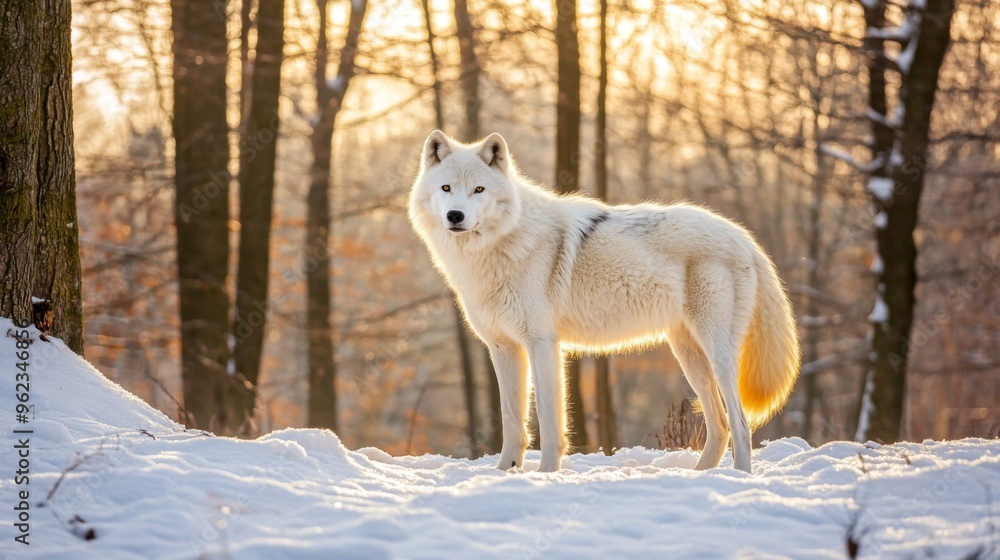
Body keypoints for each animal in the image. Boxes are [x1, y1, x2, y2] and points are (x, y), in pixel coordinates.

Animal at [408, 130, 800, 473]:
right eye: (446, 188)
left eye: (478, 189)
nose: (455, 216)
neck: (499, 246)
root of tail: (743, 236)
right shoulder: (502, 347)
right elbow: (512, 423)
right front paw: (505, 473)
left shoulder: (542, 343)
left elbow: (548, 420)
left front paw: (546, 474)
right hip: (689, 357)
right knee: (720, 425)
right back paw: (700, 477)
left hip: (716, 353)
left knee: (741, 424)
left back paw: (738, 479)